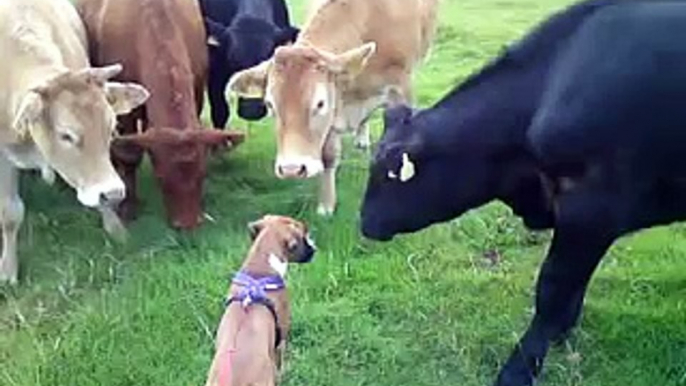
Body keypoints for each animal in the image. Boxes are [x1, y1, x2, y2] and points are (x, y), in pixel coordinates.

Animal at [0, 0, 150, 284]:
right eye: (66, 135)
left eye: (111, 128)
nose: (113, 192)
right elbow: (10, 213)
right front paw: (8, 270)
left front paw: (116, 229)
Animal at [75, 0, 246, 228]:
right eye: (161, 177)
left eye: (202, 174)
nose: (188, 224)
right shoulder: (123, 107)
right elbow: (129, 155)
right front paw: (129, 205)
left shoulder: (197, 88)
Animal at [228, 0, 438, 216]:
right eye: (270, 104)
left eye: (320, 103)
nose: (291, 169)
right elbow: (328, 157)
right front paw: (326, 206)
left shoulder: (402, 89)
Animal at [360, 0, 686, 386]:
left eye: (388, 173)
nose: (364, 221)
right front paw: (561, 331)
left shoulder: (592, 208)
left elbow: (554, 286)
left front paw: (520, 367)